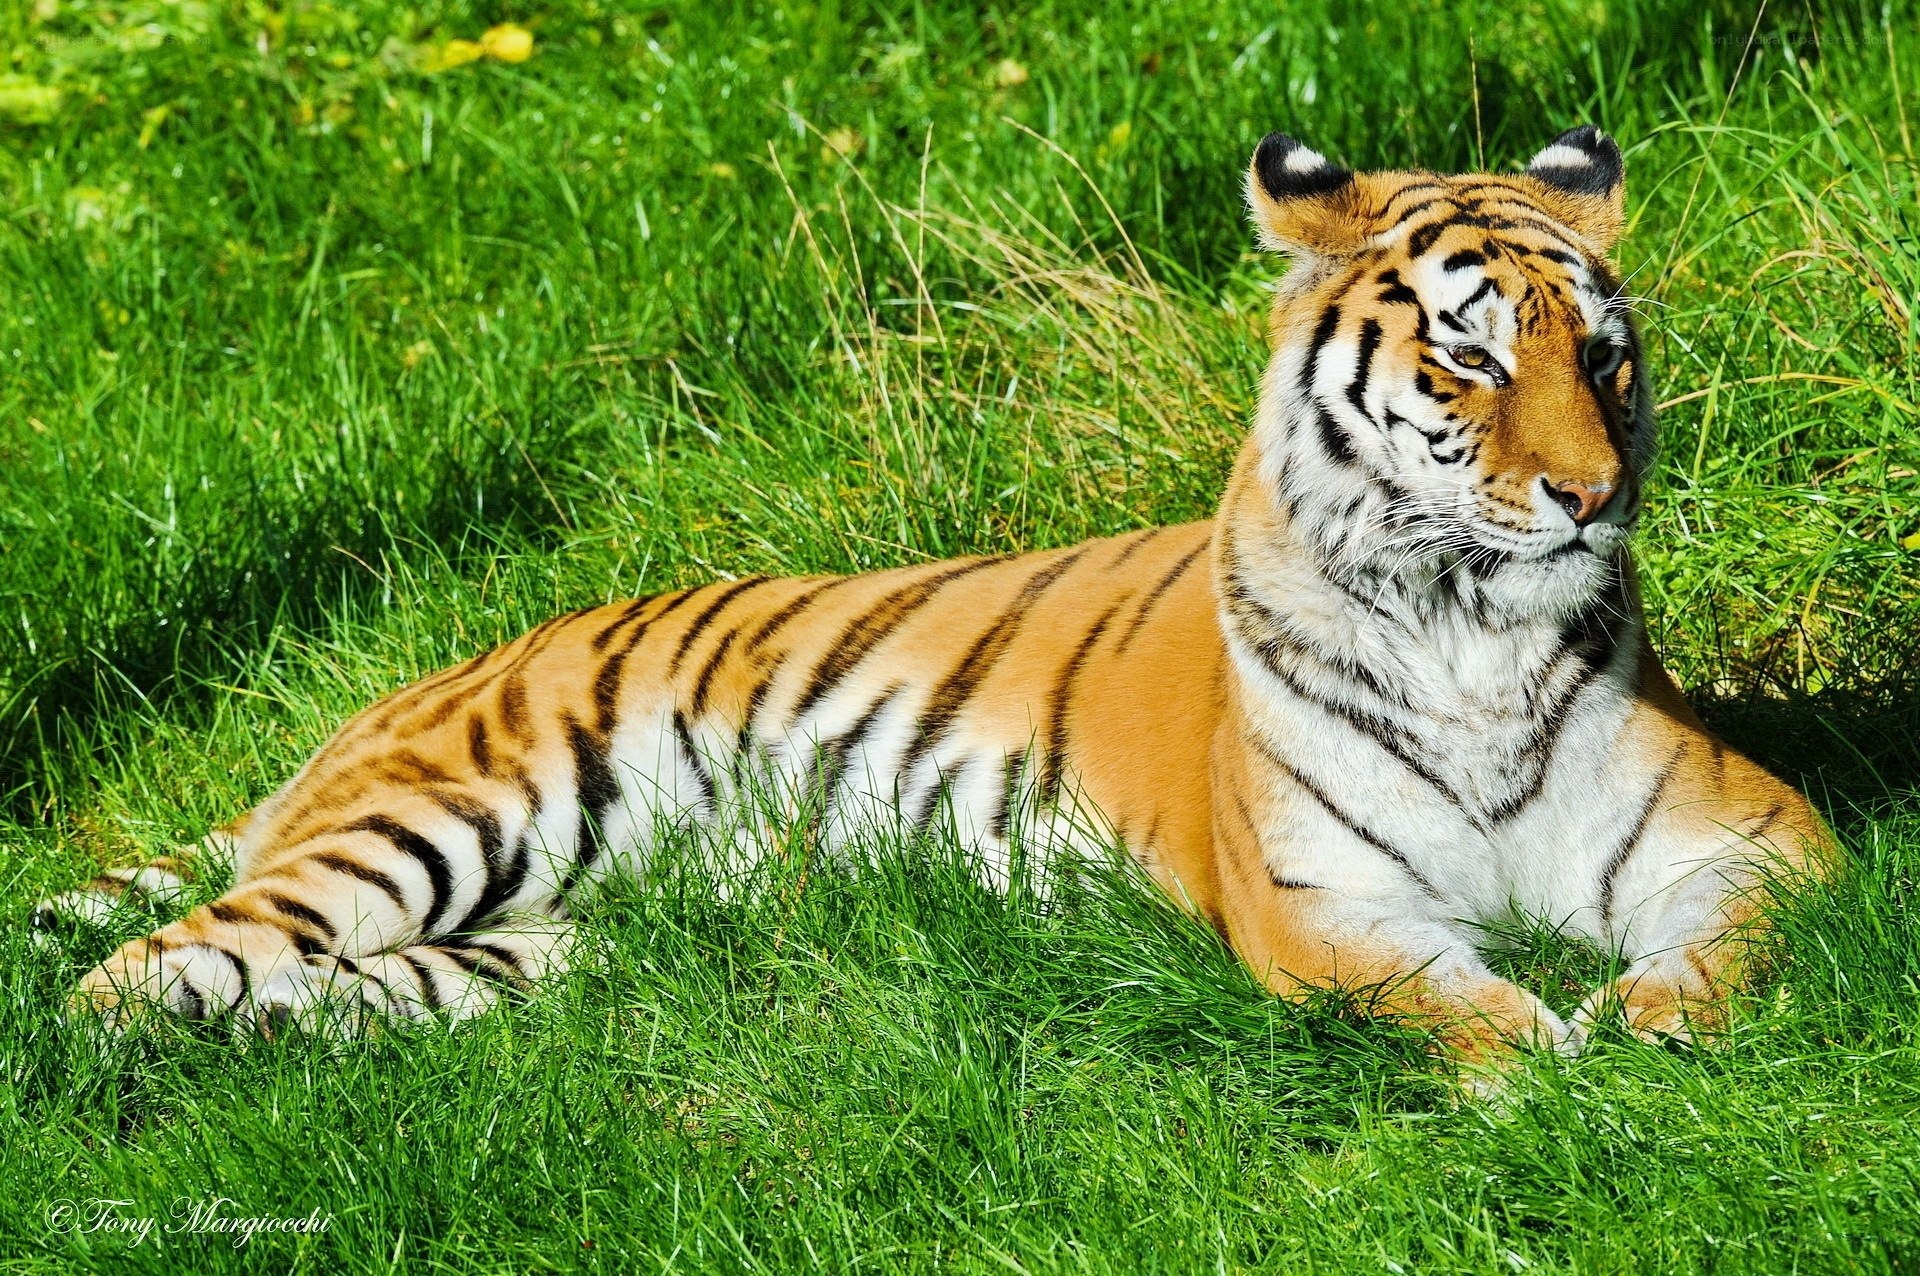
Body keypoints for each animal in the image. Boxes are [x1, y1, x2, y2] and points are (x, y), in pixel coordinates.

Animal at [35, 126, 1834, 1076]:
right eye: (1471, 357)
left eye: (1605, 357)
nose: (1591, 495)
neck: (1474, 634)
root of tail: (386, 699)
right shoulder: (1319, 904)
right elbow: (1460, 1008)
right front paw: (1550, 1070)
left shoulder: (1749, 833)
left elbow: (1732, 944)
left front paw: (1651, 1029)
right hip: (443, 815)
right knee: (122, 979)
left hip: (526, 948)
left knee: (315, 987)